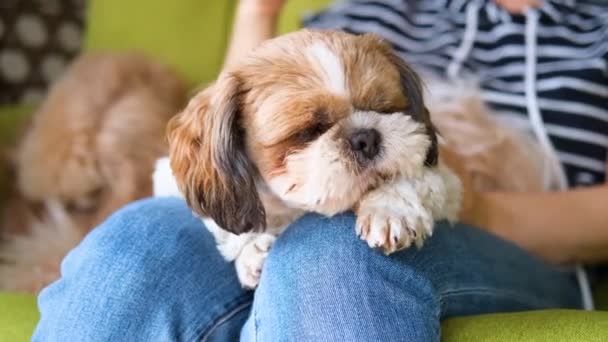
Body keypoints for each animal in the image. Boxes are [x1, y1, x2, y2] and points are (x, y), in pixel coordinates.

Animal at [153, 30, 460, 288]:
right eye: (309, 131)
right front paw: (251, 252)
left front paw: (388, 208)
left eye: (383, 109)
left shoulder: (448, 186)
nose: (366, 138)